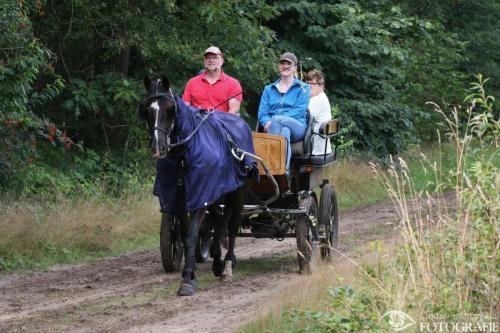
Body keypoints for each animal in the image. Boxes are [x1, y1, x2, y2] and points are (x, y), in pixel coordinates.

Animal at [137, 76, 256, 296]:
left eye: (170, 108)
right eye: (146, 108)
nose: (158, 147)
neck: (184, 155)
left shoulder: (202, 195)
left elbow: (192, 235)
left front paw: (187, 279)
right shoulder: (179, 199)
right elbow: (185, 234)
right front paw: (191, 271)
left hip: (238, 190)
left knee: (232, 224)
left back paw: (227, 264)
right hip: (220, 191)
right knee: (220, 220)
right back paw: (217, 259)